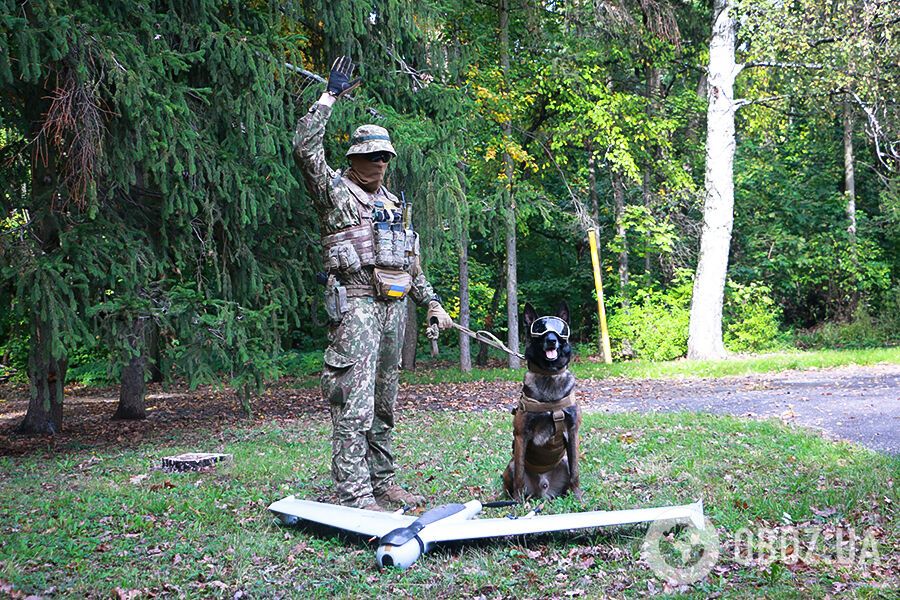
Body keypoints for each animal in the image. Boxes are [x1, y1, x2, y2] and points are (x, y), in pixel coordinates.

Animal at [500, 302, 584, 500]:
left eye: (560, 330)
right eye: (539, 329)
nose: (552, 340)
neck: (549, 375)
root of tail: (543, 488)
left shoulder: (573, 431)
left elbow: (576, 472)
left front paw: (578, 498)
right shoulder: (521, 435)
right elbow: (520, 475)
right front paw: (518, 502)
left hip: (564, 461)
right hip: (510, 466)